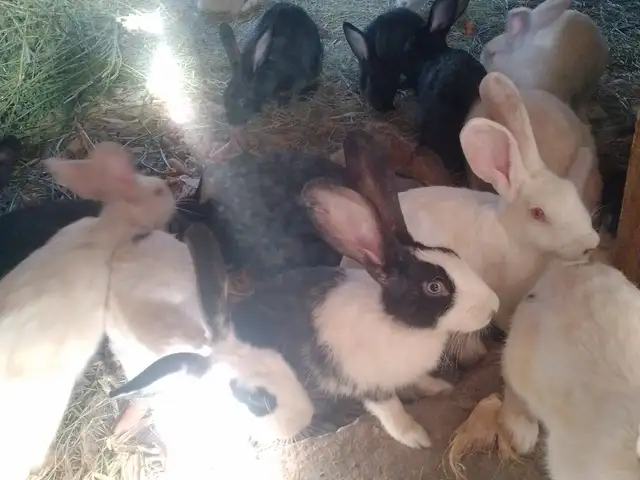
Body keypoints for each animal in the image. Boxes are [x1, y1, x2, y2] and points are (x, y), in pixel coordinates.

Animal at [108, 129, 500, 449]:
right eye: (434, 287)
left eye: (452, 255)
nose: (494, 305)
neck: (396, 322)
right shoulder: (368, 386)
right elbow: (391, 412)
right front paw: (416, 437)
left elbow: (420, 380)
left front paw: (439, 388)